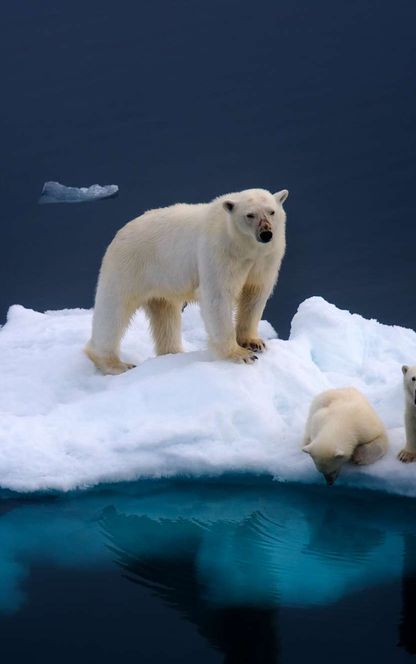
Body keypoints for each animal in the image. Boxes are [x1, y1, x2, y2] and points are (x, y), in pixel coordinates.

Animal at [85, 188, 288, 374]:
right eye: (250, 215)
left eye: (271, 211)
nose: (266, 233)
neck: (244, 248)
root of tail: (119, 233)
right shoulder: (219, 251)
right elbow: (218, 296)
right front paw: (240, 355)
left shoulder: (266, 259)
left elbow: (255, 294)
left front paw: (254, 343)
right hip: (129, 266)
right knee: (114, 310)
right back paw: (115, 364)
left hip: (161, 281)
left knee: (165, 316)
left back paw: (172, 353)